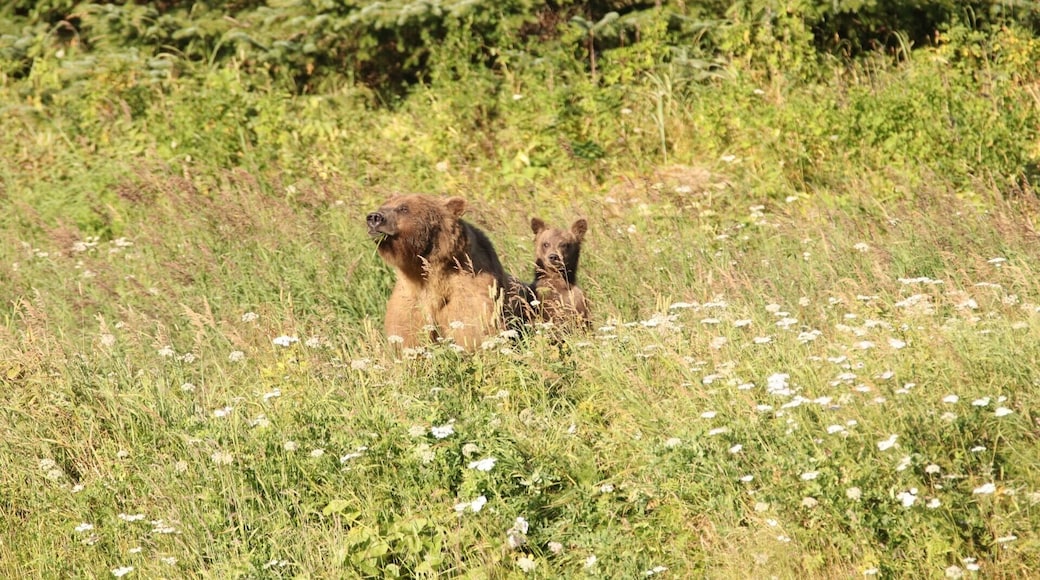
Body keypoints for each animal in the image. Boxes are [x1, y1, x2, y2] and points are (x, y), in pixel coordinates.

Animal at [366, 194, 509, 350]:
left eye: (403, 208)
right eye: (383, 205)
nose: (374, 217)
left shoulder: (469, 282)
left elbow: (472, 322)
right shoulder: (410, 296)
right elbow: (406, 327)